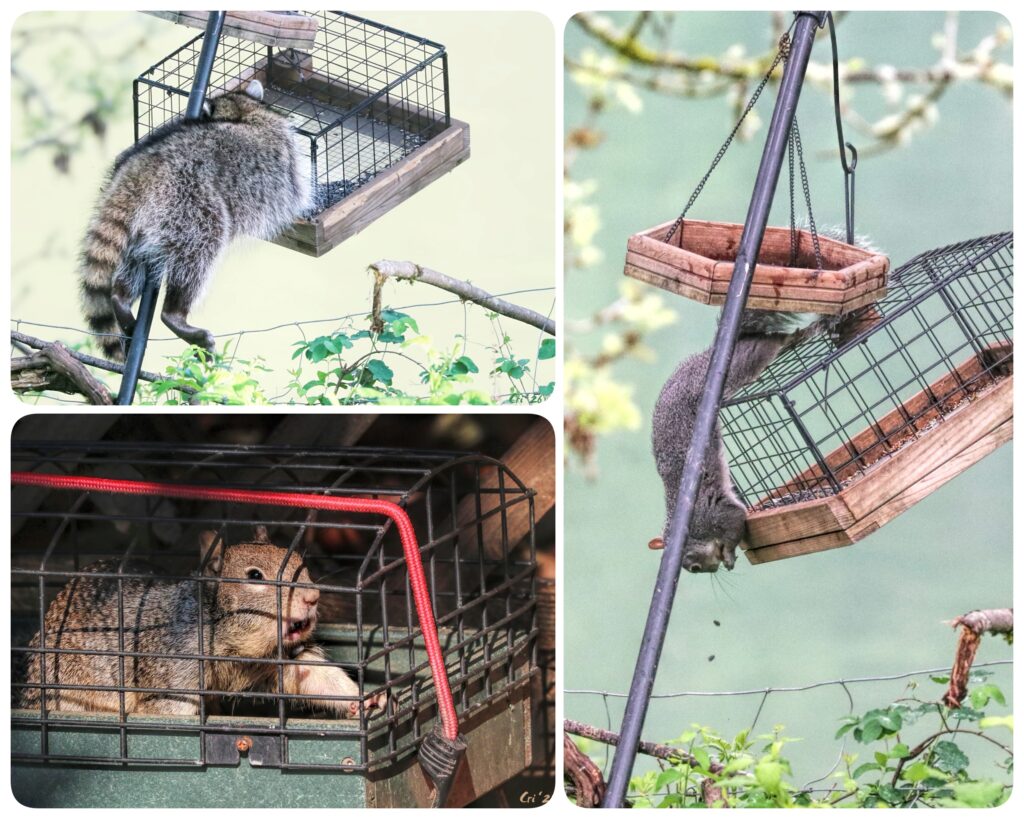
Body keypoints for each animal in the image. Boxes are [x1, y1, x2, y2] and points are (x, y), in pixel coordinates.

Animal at [18, 526, 384, 718]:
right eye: (254, 576)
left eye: (299, 562)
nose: (313, 597)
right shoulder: (175, 669)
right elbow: (168, 711)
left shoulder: (281, 660)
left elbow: (315, 677)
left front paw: (365, 699)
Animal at [79, 80, 312, 361]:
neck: (244, 112)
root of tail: (138, 173)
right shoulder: (283, 161)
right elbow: (296, 191)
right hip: (189, 208)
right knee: (198, 254)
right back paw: (175, 312)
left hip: (144, 224)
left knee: (131, 262)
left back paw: (121, 296)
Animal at [650, 228, 881, 573]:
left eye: (692, 566)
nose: (712, 569)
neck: (691, 528)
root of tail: (712, 355)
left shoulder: (716, 512)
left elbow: (735, 524)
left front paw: (730, 556)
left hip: (746, 361)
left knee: (773, 342)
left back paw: (799, 335)